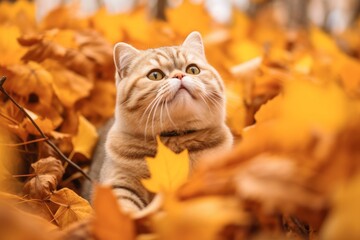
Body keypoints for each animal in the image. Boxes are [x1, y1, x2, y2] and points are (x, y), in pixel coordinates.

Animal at [88, 31, 232, 212]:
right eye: (155, 75)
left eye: (193, 69)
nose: (179, 75)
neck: (173, 142)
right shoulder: (118, 183)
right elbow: (123, 210)